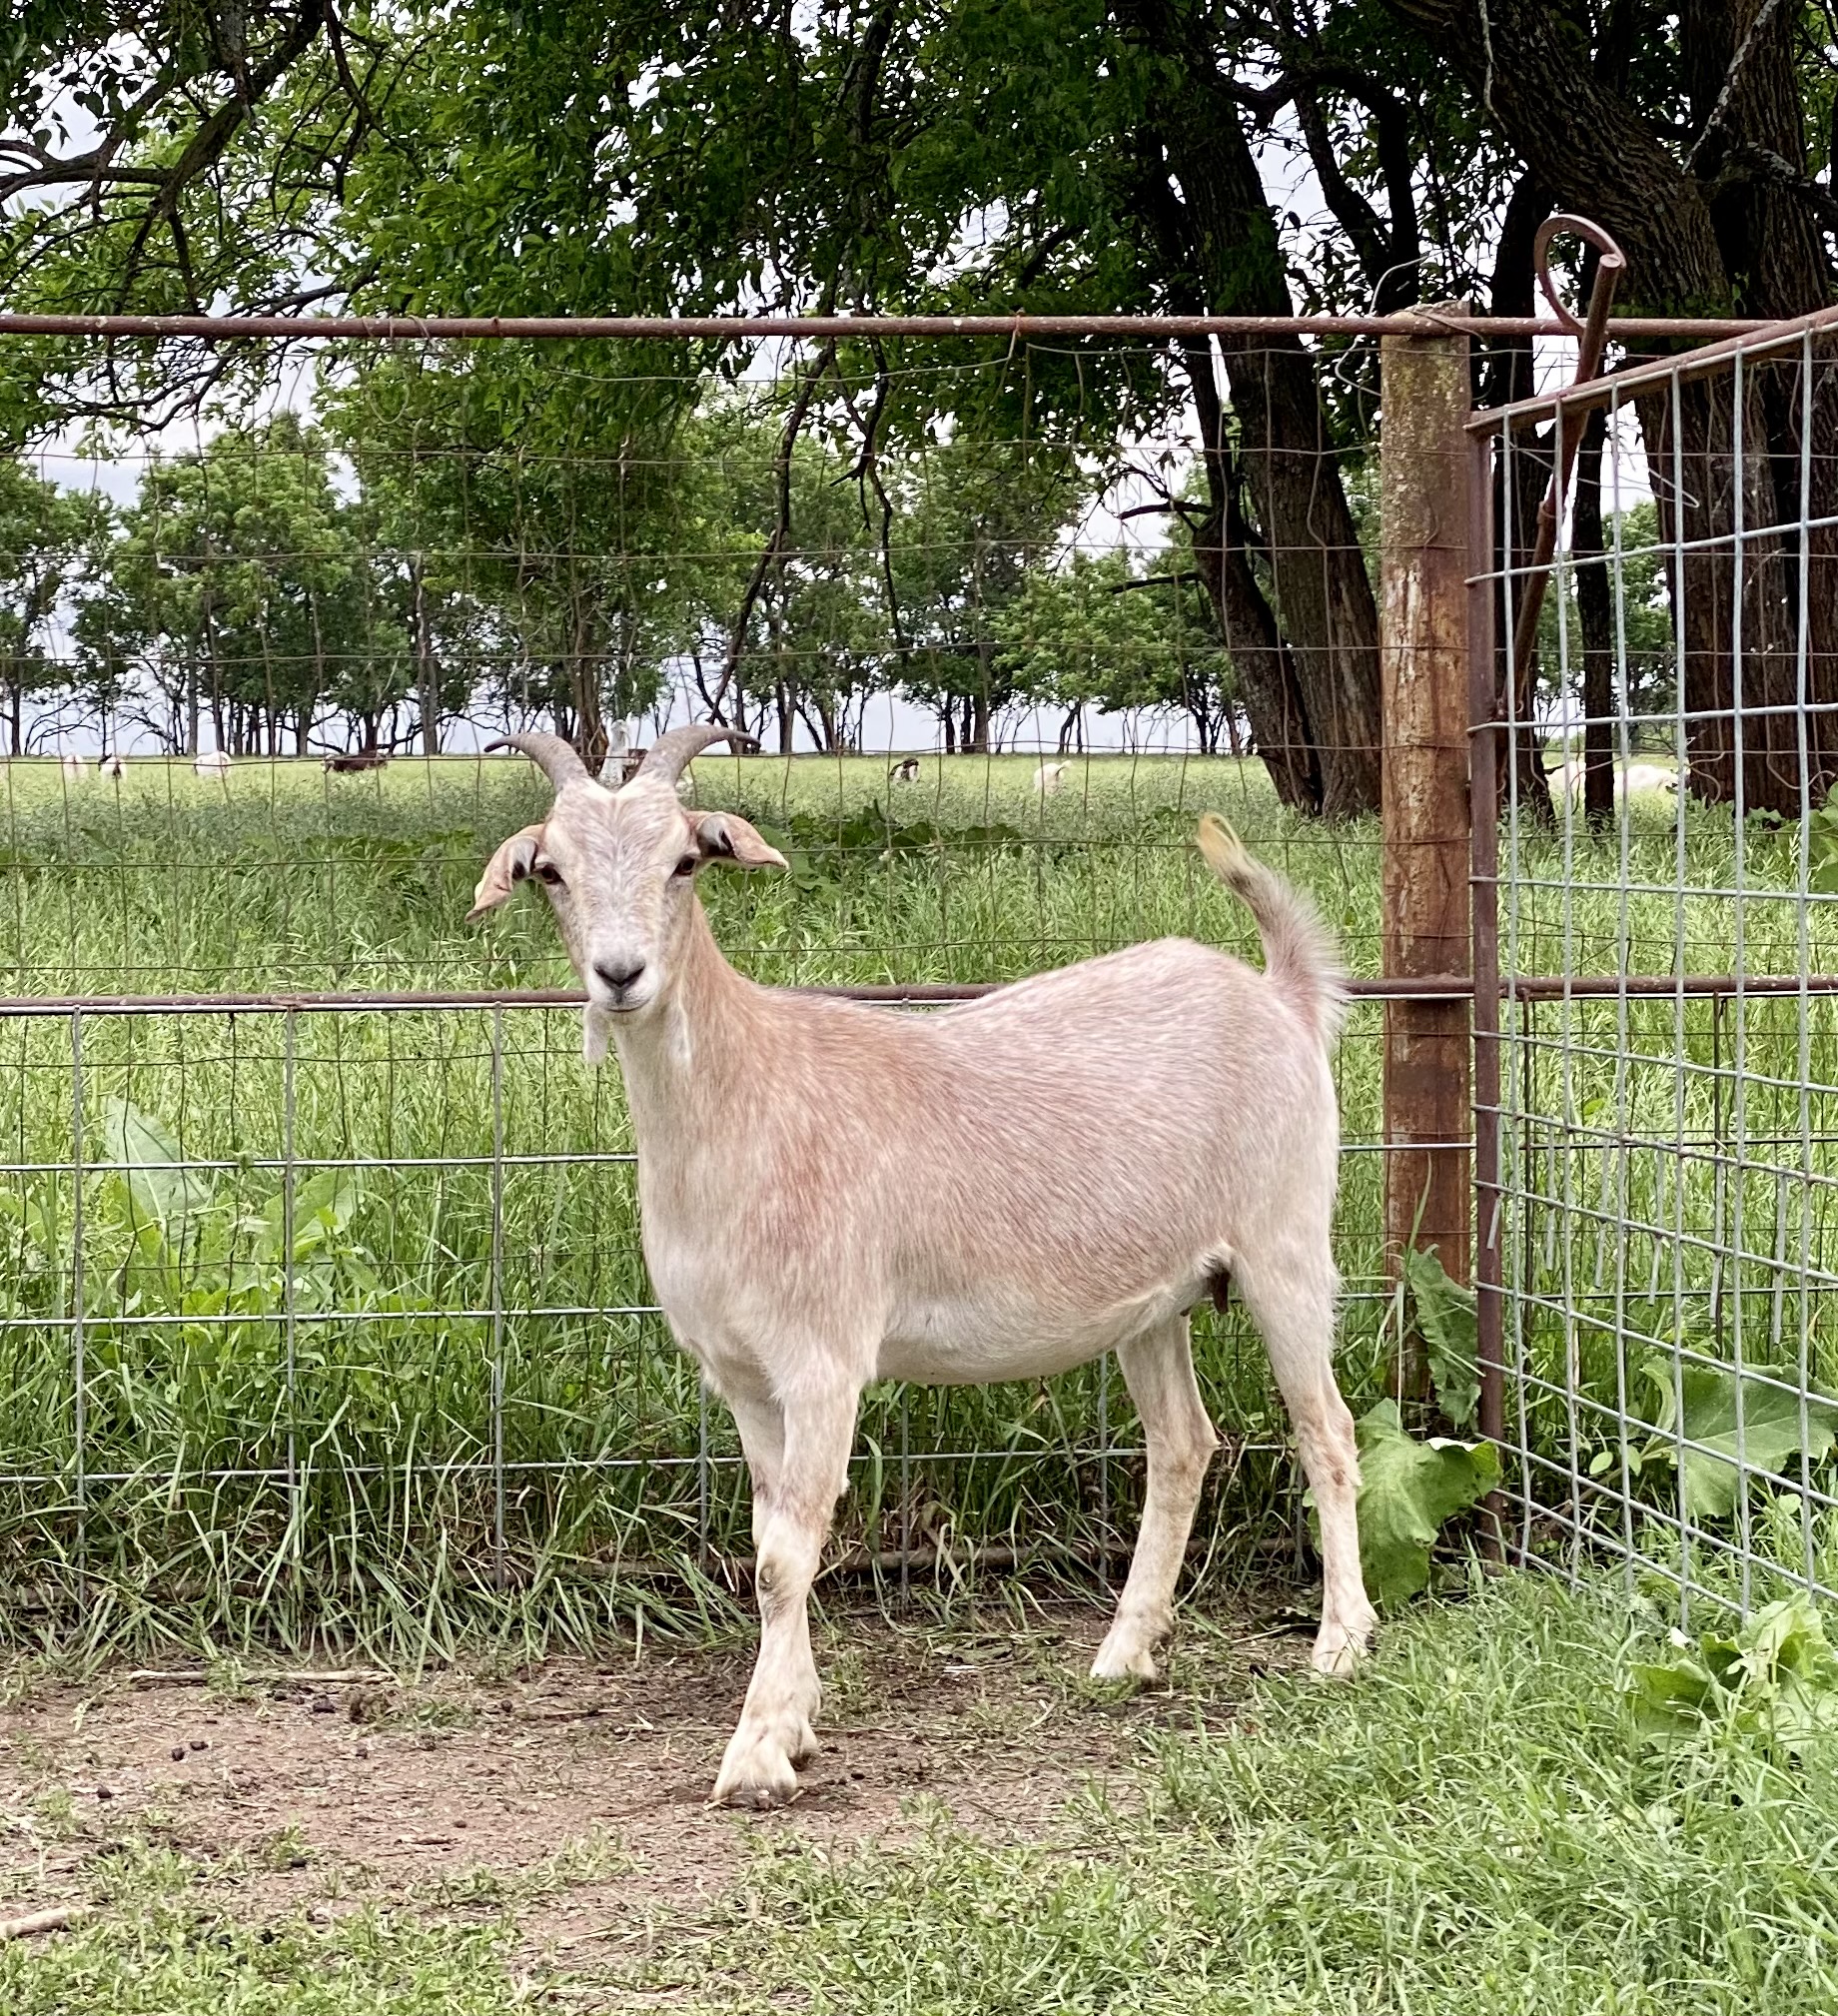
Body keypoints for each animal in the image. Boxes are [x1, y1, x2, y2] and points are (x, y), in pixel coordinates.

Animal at [467, 725, 1370, 1814]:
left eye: (684, 860)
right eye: (551, 870)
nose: (619, 973)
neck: (746, 1097)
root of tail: (1280, 994)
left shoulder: (822, 1358)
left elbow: (784, 1557)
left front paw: (757, 1752)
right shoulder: (741, 1375)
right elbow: (771, 1540)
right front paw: (796, 1716)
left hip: (1286, 1244)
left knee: (1327, 1431)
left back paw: (1338, 1645)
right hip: (1153, 1298)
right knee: (1184, 1445)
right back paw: (1124, 1655)